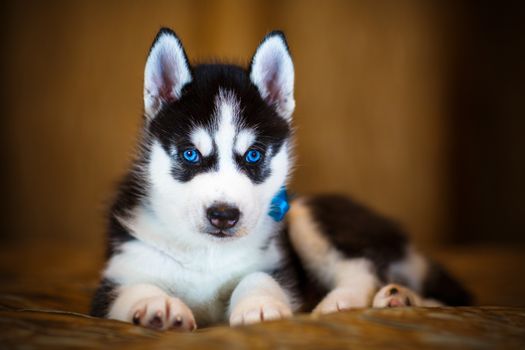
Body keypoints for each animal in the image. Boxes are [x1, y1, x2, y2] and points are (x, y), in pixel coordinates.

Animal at [91, 28, 470, 330]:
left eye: (254, 155)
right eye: (190, 154)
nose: (224, 216)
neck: (207, 253)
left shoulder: (277, 265)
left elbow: (258, 276)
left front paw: (259, 305)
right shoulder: (119, 273)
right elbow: (132, 288)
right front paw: (158, 305)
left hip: (303, 213)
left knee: (363, 270)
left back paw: (347, 301)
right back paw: (402, 299)